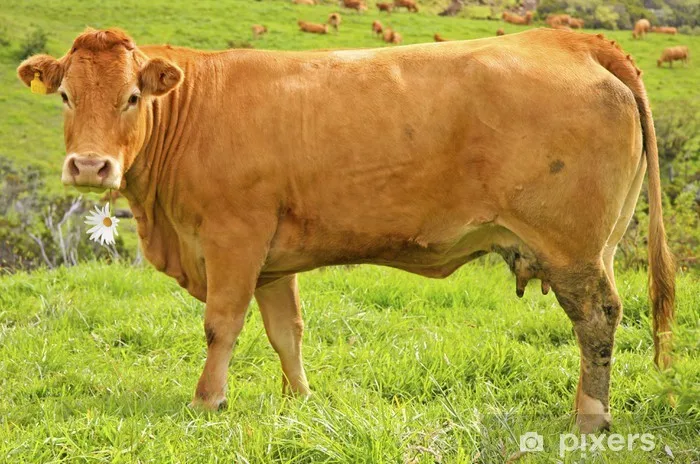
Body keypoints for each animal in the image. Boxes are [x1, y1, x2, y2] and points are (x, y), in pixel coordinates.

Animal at [18, 28, 675, 434]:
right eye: (66, 95)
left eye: (132, 97)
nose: (89, 167)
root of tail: (569, 39)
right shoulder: (270, 259)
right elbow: (286, 331)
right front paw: (300, 401)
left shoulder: (234, 237)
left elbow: (221, 326)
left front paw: (208, 400)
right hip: (597, 246)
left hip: (572, 250)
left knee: (597, 319)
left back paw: (589, 417)